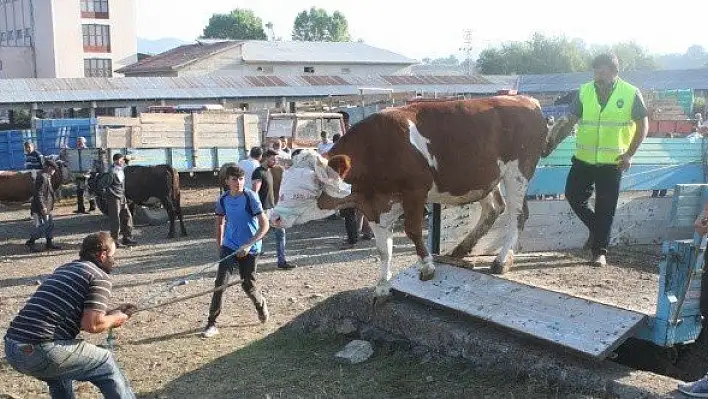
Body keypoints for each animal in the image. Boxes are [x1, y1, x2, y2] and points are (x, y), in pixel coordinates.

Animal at [272, 95, 564, 298]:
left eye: (307, 188)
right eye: (283, 182)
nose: (274, 217)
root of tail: (527, 101)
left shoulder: (415, 191)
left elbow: (412, 230)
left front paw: (426, 266)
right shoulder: (373, 207)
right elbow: (383, 249)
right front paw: (382, 286)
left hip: (518, 171)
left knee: (518, 213)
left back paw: (502, 260)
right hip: (484, 177)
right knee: (494, 208)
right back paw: (461, 249)